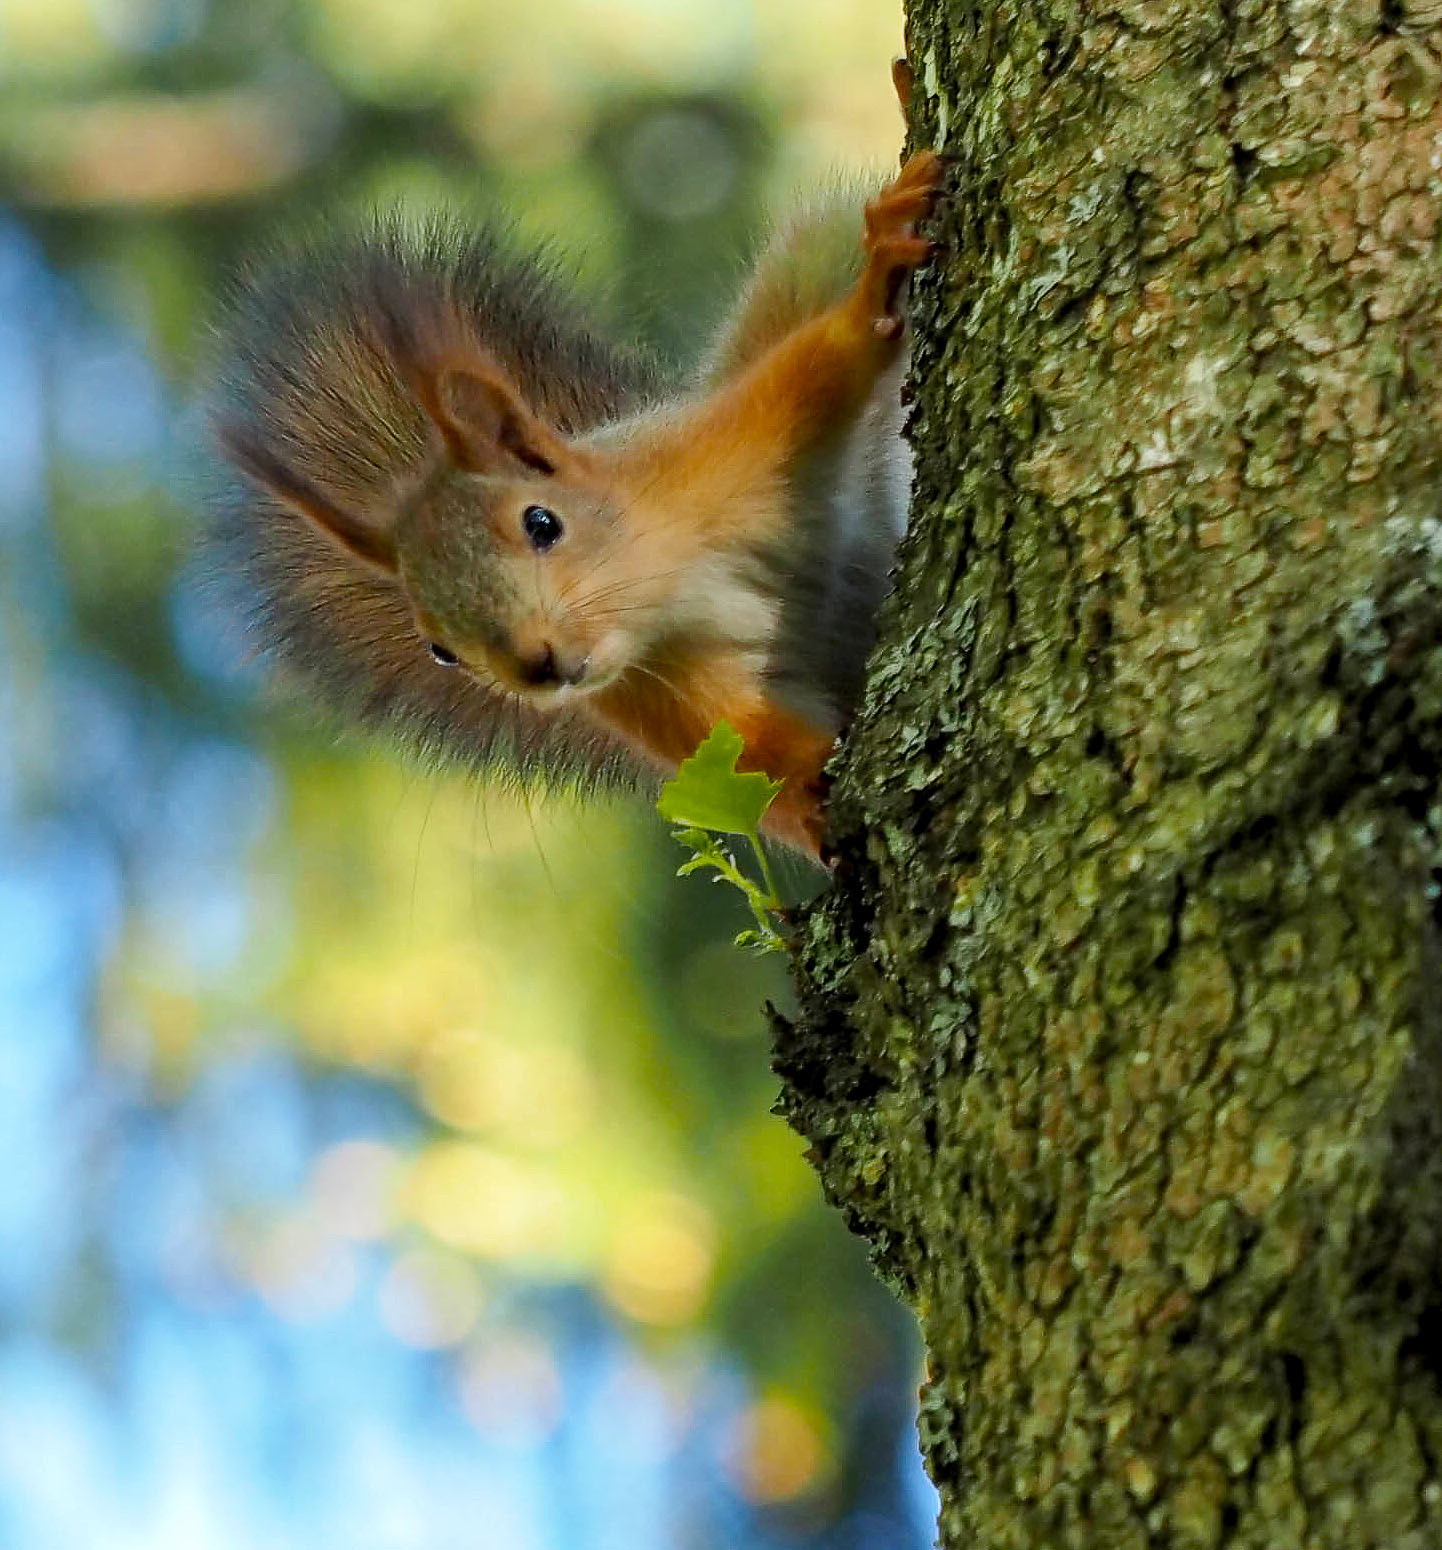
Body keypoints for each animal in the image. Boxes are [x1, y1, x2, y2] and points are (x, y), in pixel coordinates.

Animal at [208, 134, 943, 860]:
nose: (537, 665)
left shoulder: (727, 450)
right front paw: (812, 782)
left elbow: (828, 360)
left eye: (542, 523)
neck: (669, 583)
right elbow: (754, 751)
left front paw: (877, 277)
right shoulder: (650, 694)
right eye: (439, 650)